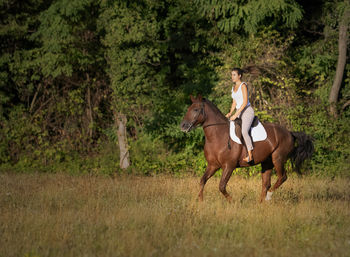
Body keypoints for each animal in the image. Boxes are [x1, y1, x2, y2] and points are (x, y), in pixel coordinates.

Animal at [179, 95, 314, 201]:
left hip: (278, 159)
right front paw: (200, 201)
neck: (218, 135)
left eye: (196, 109)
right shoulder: (213, 165)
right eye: (188, 109)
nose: (183, 126)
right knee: (266, 184)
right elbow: (202, 181)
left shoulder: (229, 166)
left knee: (282, 177)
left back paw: (268, 197)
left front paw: (233, 202)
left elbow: (221, 186)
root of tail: (290, 133)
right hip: (267, 162)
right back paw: (260, 203)